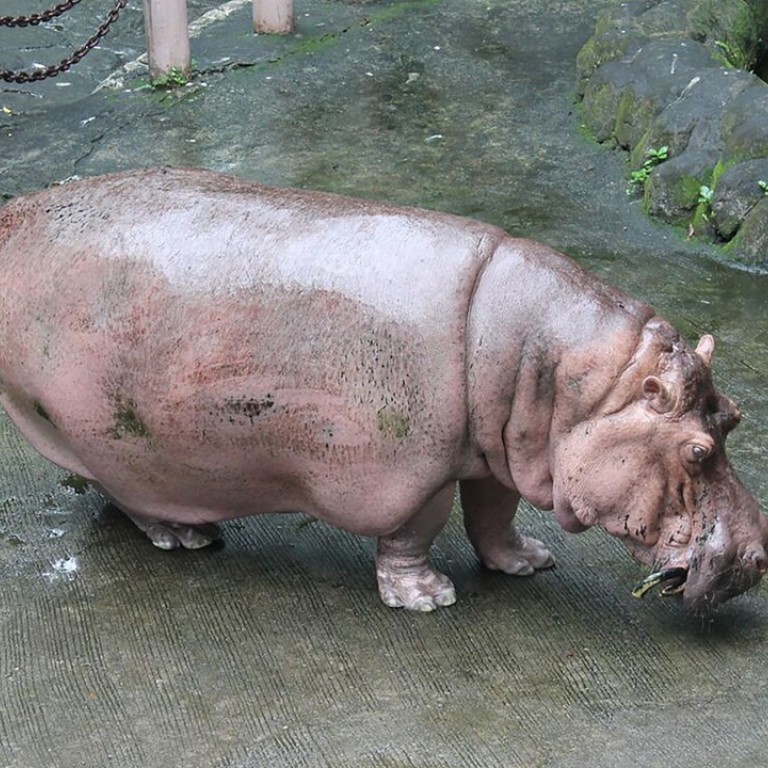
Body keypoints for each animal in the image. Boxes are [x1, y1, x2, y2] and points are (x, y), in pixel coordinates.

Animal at [0, 167, 765, 613]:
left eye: (733, 415)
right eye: (697, 452)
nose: (759, 556)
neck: (573, 383)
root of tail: (17, 216)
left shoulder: (497, 452)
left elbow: (494, 513)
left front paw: (528, 563)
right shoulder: (413, 468)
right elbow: (418, 529)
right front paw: (428, 599)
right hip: (111, 436)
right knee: (131, 494)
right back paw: (186, 538)